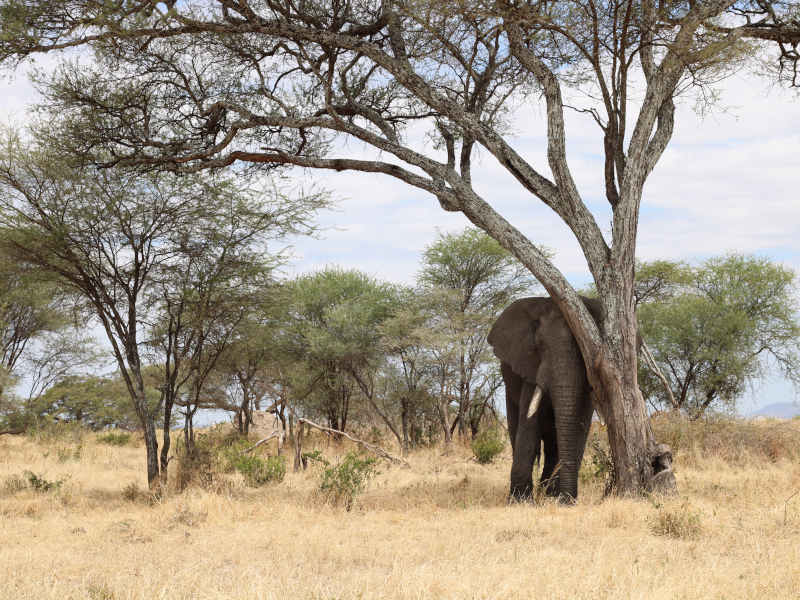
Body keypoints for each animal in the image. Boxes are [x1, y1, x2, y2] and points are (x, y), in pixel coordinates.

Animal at [484, 296, 604, 502]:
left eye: (584, 349)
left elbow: (580, 426)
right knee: (516, 427)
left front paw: (555, 496)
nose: (567, 501)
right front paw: (521, 501)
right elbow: (529, 422)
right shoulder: (530, 366)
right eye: (539, 345)